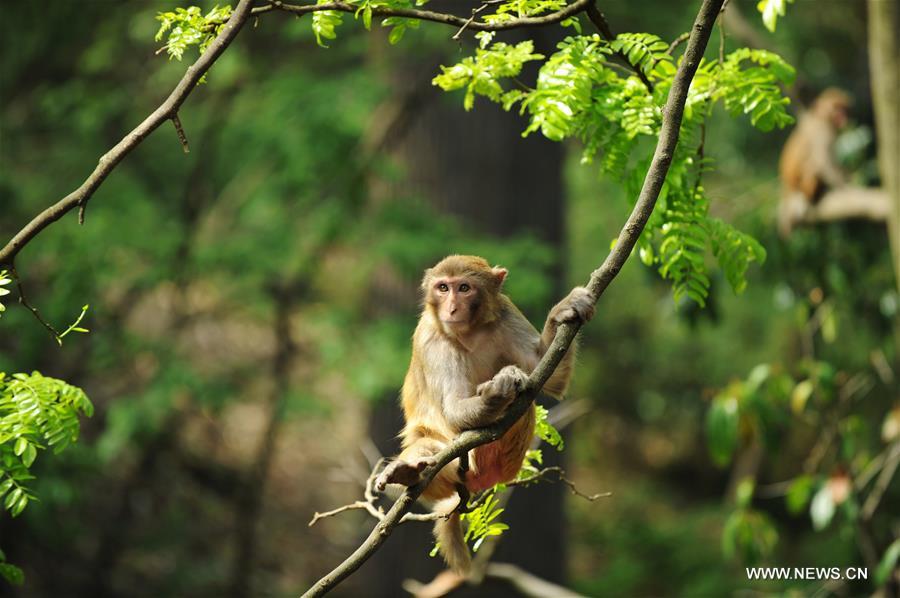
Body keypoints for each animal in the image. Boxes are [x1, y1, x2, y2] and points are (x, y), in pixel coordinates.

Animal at [370, 256, 592, 576]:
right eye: (443, 288)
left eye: (464, 288)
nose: (451, 308)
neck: (469, 332)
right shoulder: (433, 341)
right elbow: (452, 411)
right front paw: (496, 391)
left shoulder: (506, 312)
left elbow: (548, 376)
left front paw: (563, 311)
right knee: (429, 447)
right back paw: (408, 472)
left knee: (525, 400)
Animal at [776, 89, 848, 239]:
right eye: (837, 108)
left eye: (845, 109)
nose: (844, 116)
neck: (821, 117)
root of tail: (787, 186)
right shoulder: (824, 131)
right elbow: (825, 163)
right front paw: (844, 186)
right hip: (801, 183)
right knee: (813, 167)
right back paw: (813, 195)